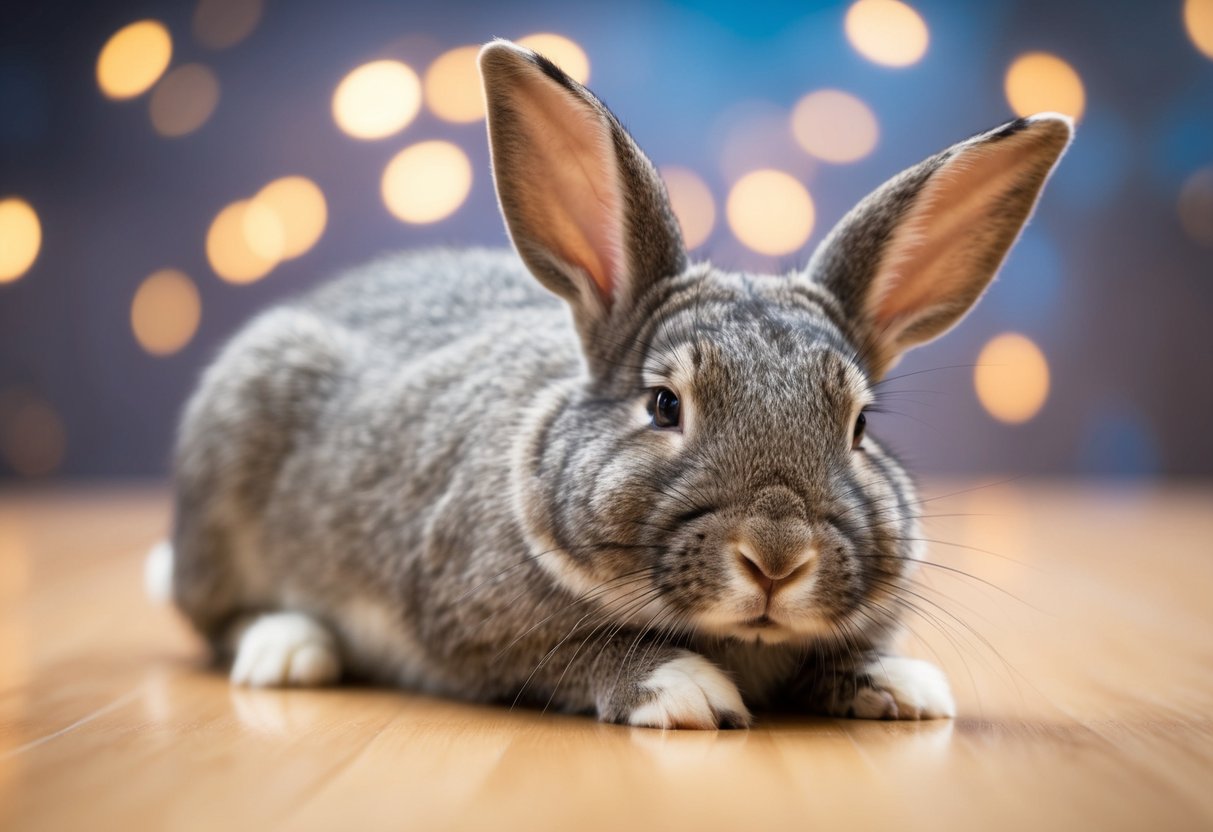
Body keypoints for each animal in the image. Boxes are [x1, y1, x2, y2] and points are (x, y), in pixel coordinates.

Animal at [160, 39, 1071, 729]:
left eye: (858, 426)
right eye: (663, 405)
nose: (777, 558)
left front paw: (902, 685)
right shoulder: (474, 632)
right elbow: (577, 654)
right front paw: (685, 690)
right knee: (213, 618)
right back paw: (287, 649)